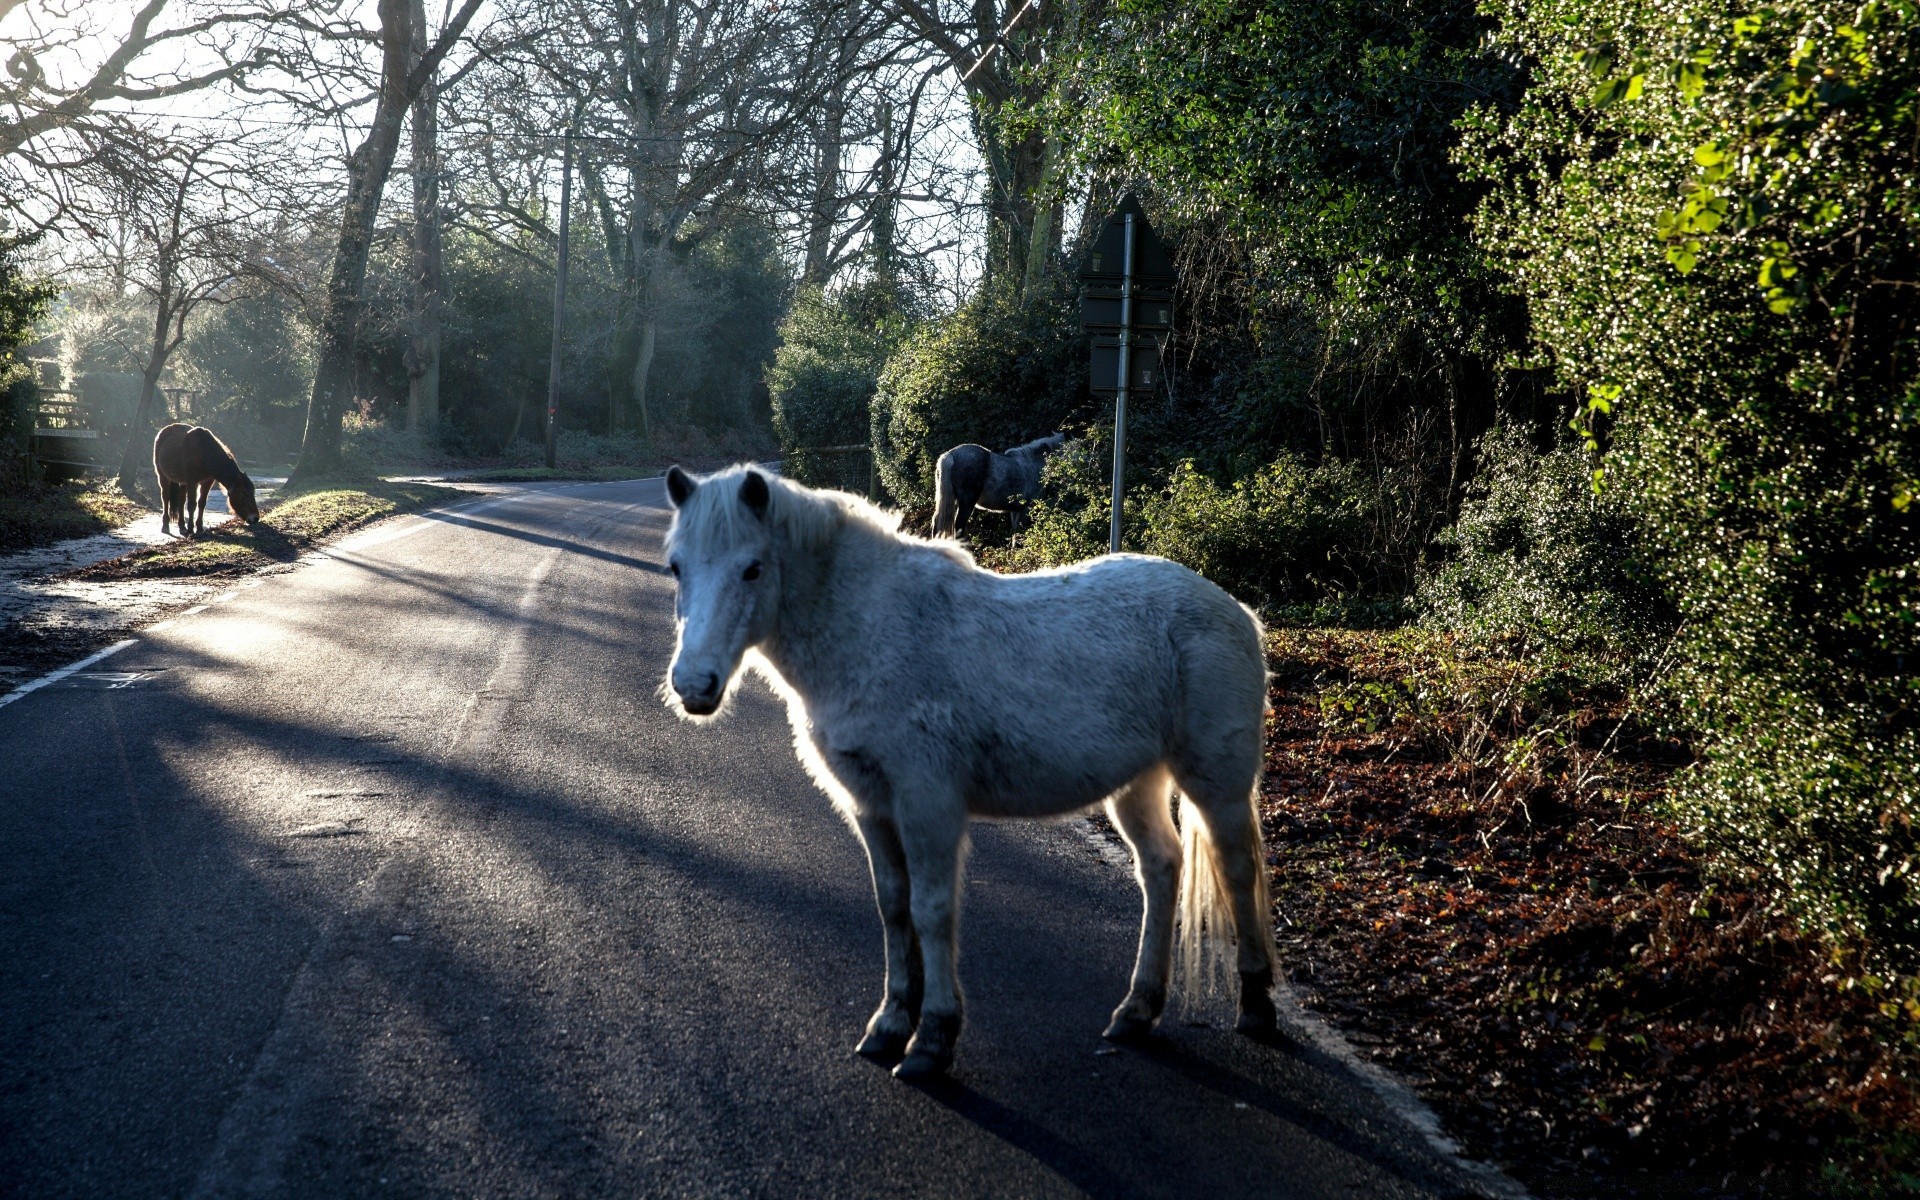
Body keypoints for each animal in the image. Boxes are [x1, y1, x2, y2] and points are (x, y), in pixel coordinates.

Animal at [660, 460, 1274, 1075]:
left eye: (752, 569)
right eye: (676, 567)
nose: (693, 686)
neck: (870, 629)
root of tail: (1236, 611)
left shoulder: (927, 806)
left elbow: (931, 910)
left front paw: (932, 1037)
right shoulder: (871, 807)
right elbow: (893, 907)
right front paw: (890, 1023)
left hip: (1215, 783)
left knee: (1237, 869)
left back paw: (1256, 1004)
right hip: (1136, 786)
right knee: (1162, 867)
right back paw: (1137, 1009)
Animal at [929, 432, 1067, 537]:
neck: (1032, 464)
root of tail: (950, 455)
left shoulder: (1015, 510)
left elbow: (1015, 535)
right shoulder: (1025, 509)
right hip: (966, 504)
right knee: (959, 527)